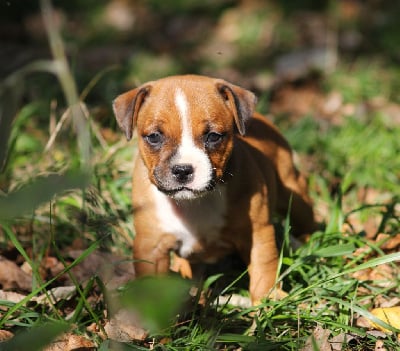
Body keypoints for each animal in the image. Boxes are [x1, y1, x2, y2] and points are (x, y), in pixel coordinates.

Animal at [112, 75, 316, 306]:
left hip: (291, 192)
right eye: (154, 137)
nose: (183, 170)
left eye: (213, 136)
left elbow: (263, 268)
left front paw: (267, 302)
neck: (194, 203)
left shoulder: (258, 234)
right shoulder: (151, 246)